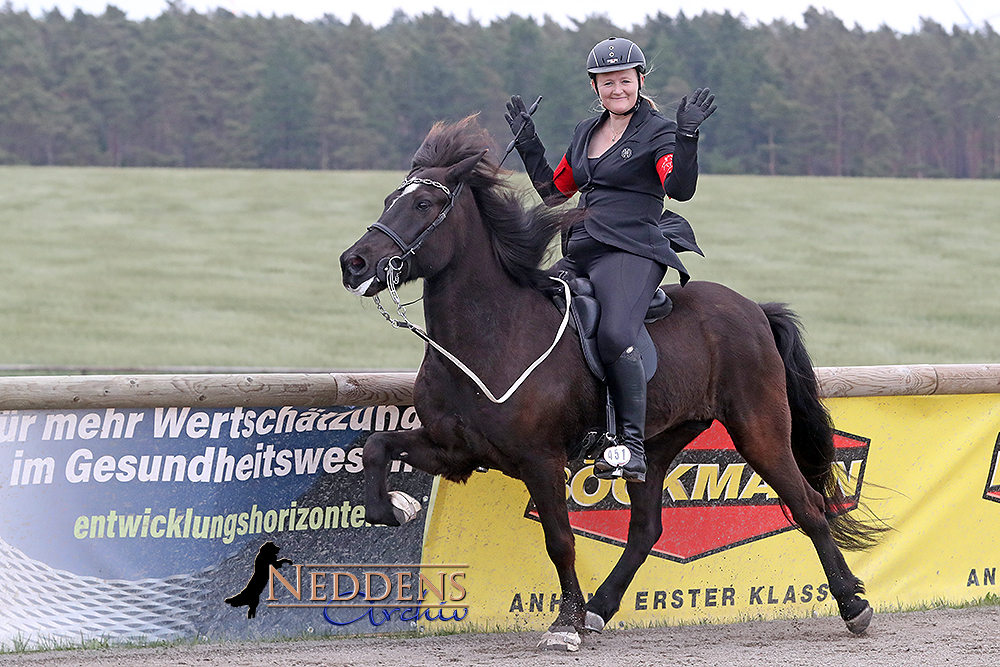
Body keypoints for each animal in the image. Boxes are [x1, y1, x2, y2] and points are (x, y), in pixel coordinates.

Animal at [338, 117, 884, 648]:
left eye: (423, 204)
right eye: (389, 201)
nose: (354, 263)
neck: (490, 334)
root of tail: (754, 308)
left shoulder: (540, 461)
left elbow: (560, 541)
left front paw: (564, 624)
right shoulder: (455, 451)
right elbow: (376, 446)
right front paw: (397, 508)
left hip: (760, 432)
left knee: (809, 505)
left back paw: (852, 604)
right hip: (660, 442)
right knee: (645, 530)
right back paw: (601, 607)